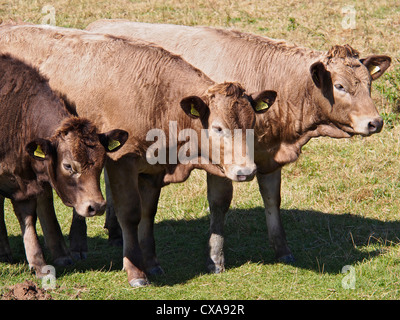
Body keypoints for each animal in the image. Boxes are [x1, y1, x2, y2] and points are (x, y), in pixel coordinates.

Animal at [0, 53, 126, 276]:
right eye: (68, 166)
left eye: (101, 164)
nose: (96, 206)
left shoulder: (24, 181)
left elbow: (28, 217)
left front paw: (39, 263)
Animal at [86, 20, 390, 272]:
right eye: (339, 86)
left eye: (369, 84)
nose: (375, 122)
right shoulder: (223, 163)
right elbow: (220, 204)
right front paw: (216, 259)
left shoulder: (267, 156)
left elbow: (272, 199)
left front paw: (282, 249)